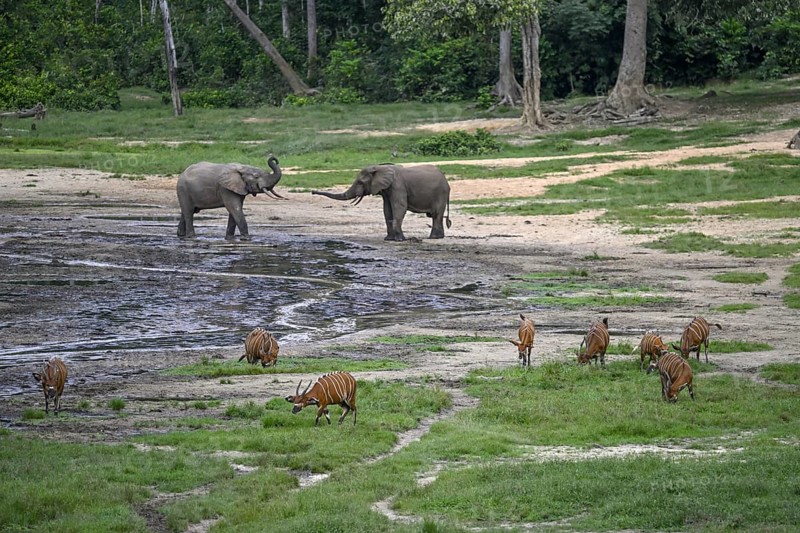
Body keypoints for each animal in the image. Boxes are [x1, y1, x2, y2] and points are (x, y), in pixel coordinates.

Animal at [312, 164, 452, 241]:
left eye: (360, 182)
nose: (312, 192)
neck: (380, 168)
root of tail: (446, 180)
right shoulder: (386, 190)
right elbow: (387, 210)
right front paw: (389, 239)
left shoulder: (398, 186)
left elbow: (399, 208)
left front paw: (400, 240)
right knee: (437, 216)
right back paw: (439, 237)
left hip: (441, 193)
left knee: (436, 215)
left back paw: (433, 238)